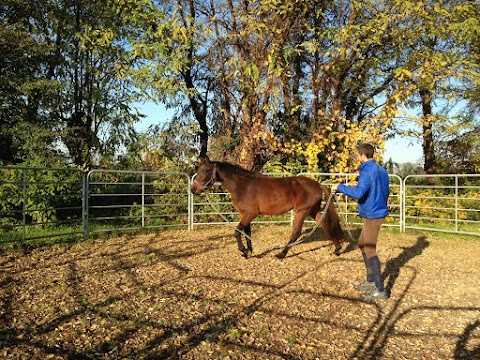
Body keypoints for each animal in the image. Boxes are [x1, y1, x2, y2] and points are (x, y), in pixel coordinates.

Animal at [189, 155, 344, 258]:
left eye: (206, 171)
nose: (193, 190)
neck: (243, 185)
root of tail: (317, 185)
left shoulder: (251, 213)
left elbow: (237, 232)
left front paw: (243, 251)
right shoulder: (244, 214)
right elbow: (247, 232)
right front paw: (248, 251)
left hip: (302, 211)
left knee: (296, 233)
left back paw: (281, 254)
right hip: (313, 211)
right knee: (325, 224)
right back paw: (337, 249)